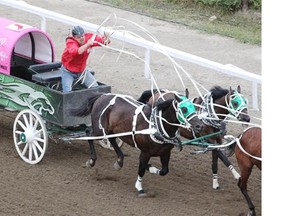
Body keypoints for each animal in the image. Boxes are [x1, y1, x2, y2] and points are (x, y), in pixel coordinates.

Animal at [70, 91, 204, 196]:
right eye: (184, 109)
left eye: (194, 107)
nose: (200, 125)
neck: (156, 126)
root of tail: (102, 96)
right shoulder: (145, 152)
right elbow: (141, 170)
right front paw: (139, 187)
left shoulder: (165, 153)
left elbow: (164, 171)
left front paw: (150, 167)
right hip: (100, 130)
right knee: (89, 133)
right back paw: (92, 160)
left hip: (112, 131)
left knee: (112, 140)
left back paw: (119, 161)